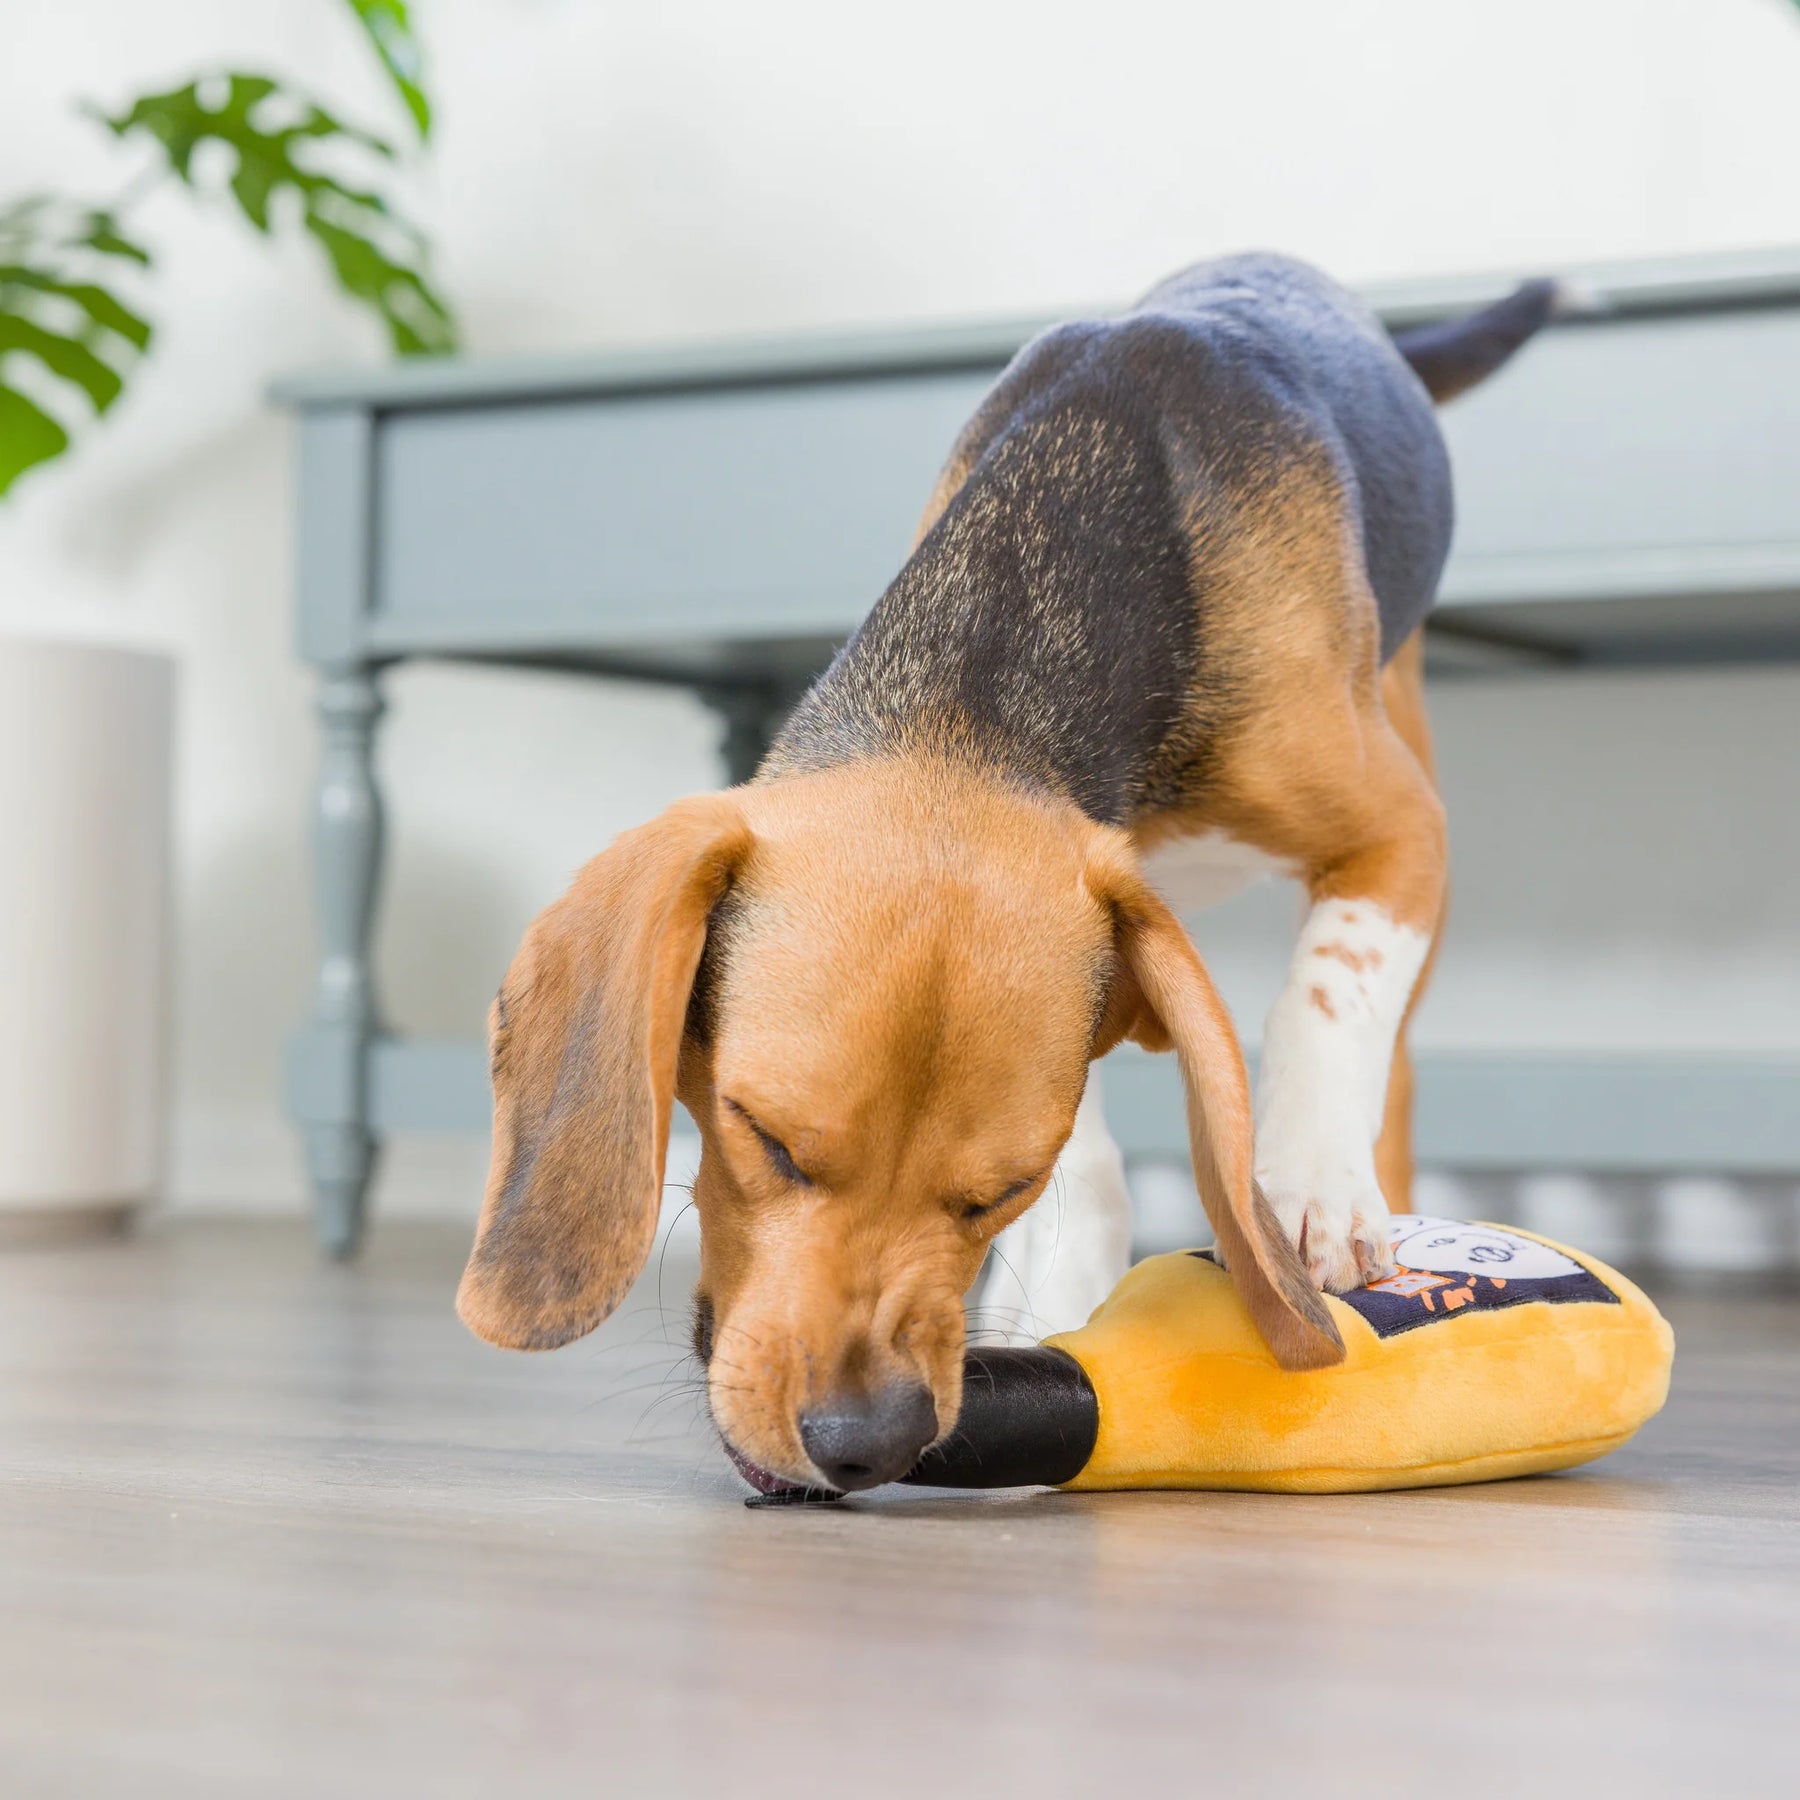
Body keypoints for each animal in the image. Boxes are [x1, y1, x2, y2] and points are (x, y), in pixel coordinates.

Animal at [457, 250, 1555, 1490]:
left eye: (1000, 1188)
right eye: (765, 1139)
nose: (865, 1442)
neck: (998, 663)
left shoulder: (1406, 831)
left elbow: (1326, 998)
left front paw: (1305, 1182)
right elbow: (1102, 1151)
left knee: (1385, 1053)